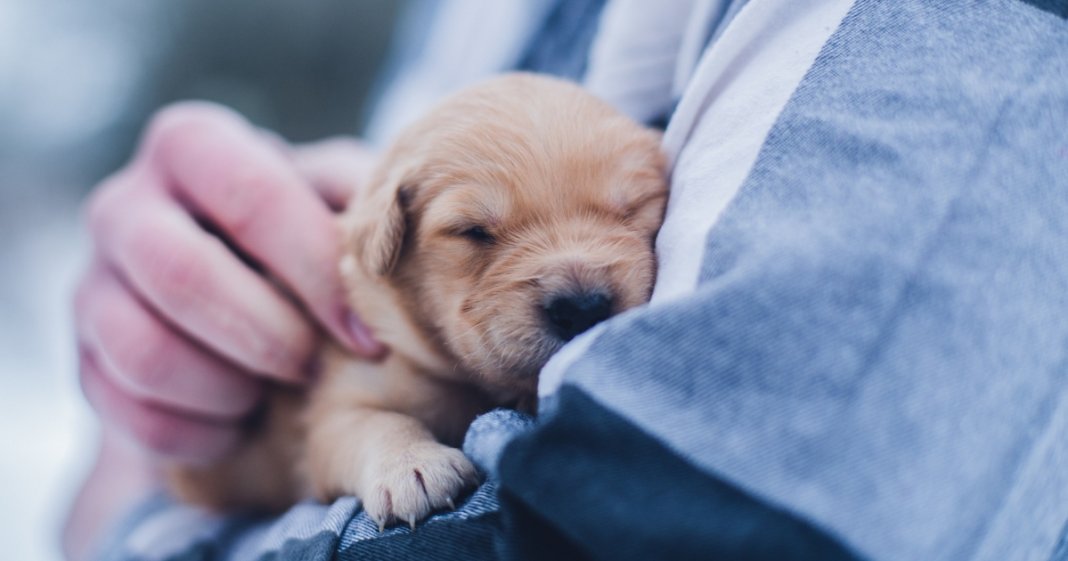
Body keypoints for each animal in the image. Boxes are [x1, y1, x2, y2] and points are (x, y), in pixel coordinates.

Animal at [166, 72, 666, 527]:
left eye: (632, 208)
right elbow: (374, 423)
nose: (582, 308)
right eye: (473, 231)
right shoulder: (335, 406)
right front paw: (411, 466)